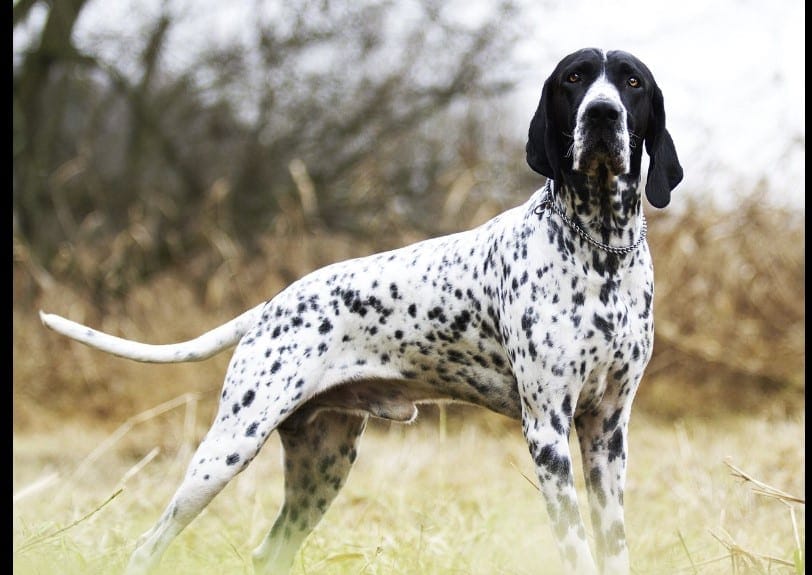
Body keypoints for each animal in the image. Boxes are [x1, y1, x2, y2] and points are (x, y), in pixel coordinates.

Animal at [39, 47, 684, 572]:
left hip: (323, 462)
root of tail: (272, 305)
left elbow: (613, 546)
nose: (602, 114)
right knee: (148, 545)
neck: (601, 251)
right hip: (229, 448)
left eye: (631, 83)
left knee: (269, 551)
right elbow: (576, 548)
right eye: (576, 78)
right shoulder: (547, 429)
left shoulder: (606, 429)